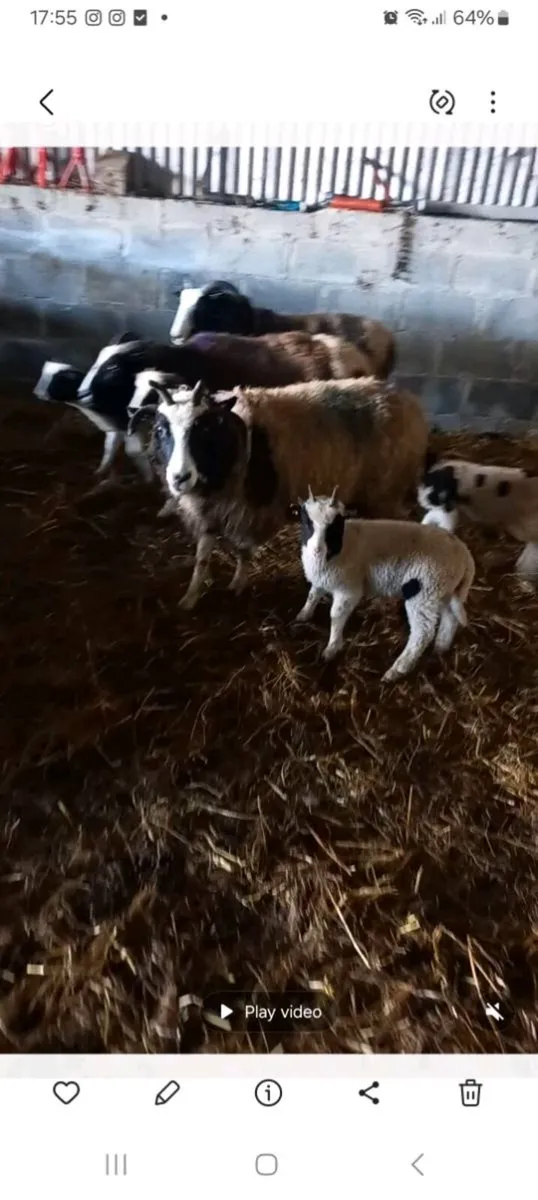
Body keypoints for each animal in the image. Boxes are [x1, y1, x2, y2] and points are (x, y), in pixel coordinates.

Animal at [127, 375, 428, 610]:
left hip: (387, 493)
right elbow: (201, 558)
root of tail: (408, 401)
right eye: (160, 429)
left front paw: (237, 585)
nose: (180, 478)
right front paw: (190, 597)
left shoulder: (249, 511)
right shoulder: (210, 511)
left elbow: (242, 552)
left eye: (205, 429)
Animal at [294, 489, 475, 681]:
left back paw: (397, 670)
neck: (341, 546)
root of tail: (465, 555)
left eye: (335, 525)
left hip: (425, 591)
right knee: (450, 618)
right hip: (445, 591)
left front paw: (332, 648)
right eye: (306, 521)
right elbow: (313, 595)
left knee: (423, 632)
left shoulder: (348, 590)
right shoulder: (321, 578)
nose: (317, 550)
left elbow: (336, 615)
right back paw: (440, 647)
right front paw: (303, 614)